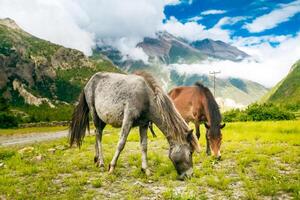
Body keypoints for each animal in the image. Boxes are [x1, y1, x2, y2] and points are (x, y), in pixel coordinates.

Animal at [68, 71, 199, 179]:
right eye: (190, 152)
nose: (190, 175)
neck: (145, 97)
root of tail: (89, 82)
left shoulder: (144, 124)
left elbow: (144, 146)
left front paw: (146, 170)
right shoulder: (128, 119)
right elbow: (121, 143)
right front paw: (112, 167)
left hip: (102, 119)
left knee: (96, 134)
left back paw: (96, 159)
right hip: (94, 113)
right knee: (99, 135)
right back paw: (101, 162)